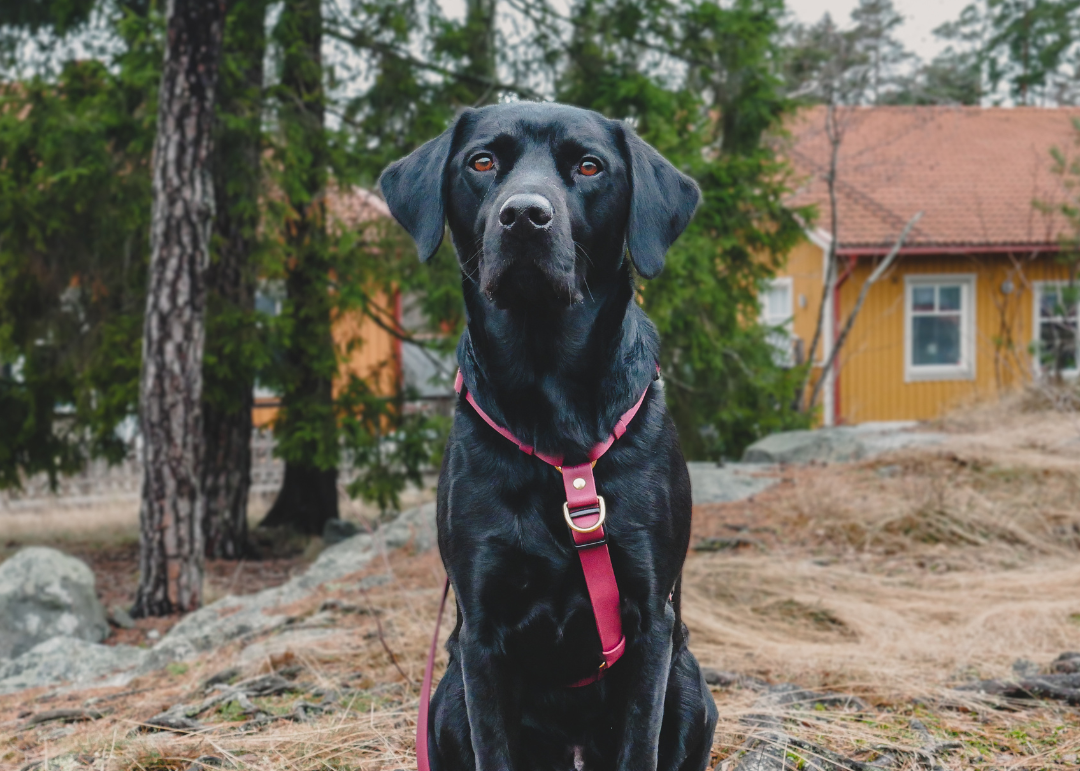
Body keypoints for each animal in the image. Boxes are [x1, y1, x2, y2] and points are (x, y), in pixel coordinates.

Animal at [380, 102, 717, 768]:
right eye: (482, 161)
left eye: (588, 166)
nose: (525, 216)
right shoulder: (480, 635)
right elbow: (494, 750)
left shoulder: (651, 624)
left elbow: (639, 747)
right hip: (445, 698)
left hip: (692, 686)